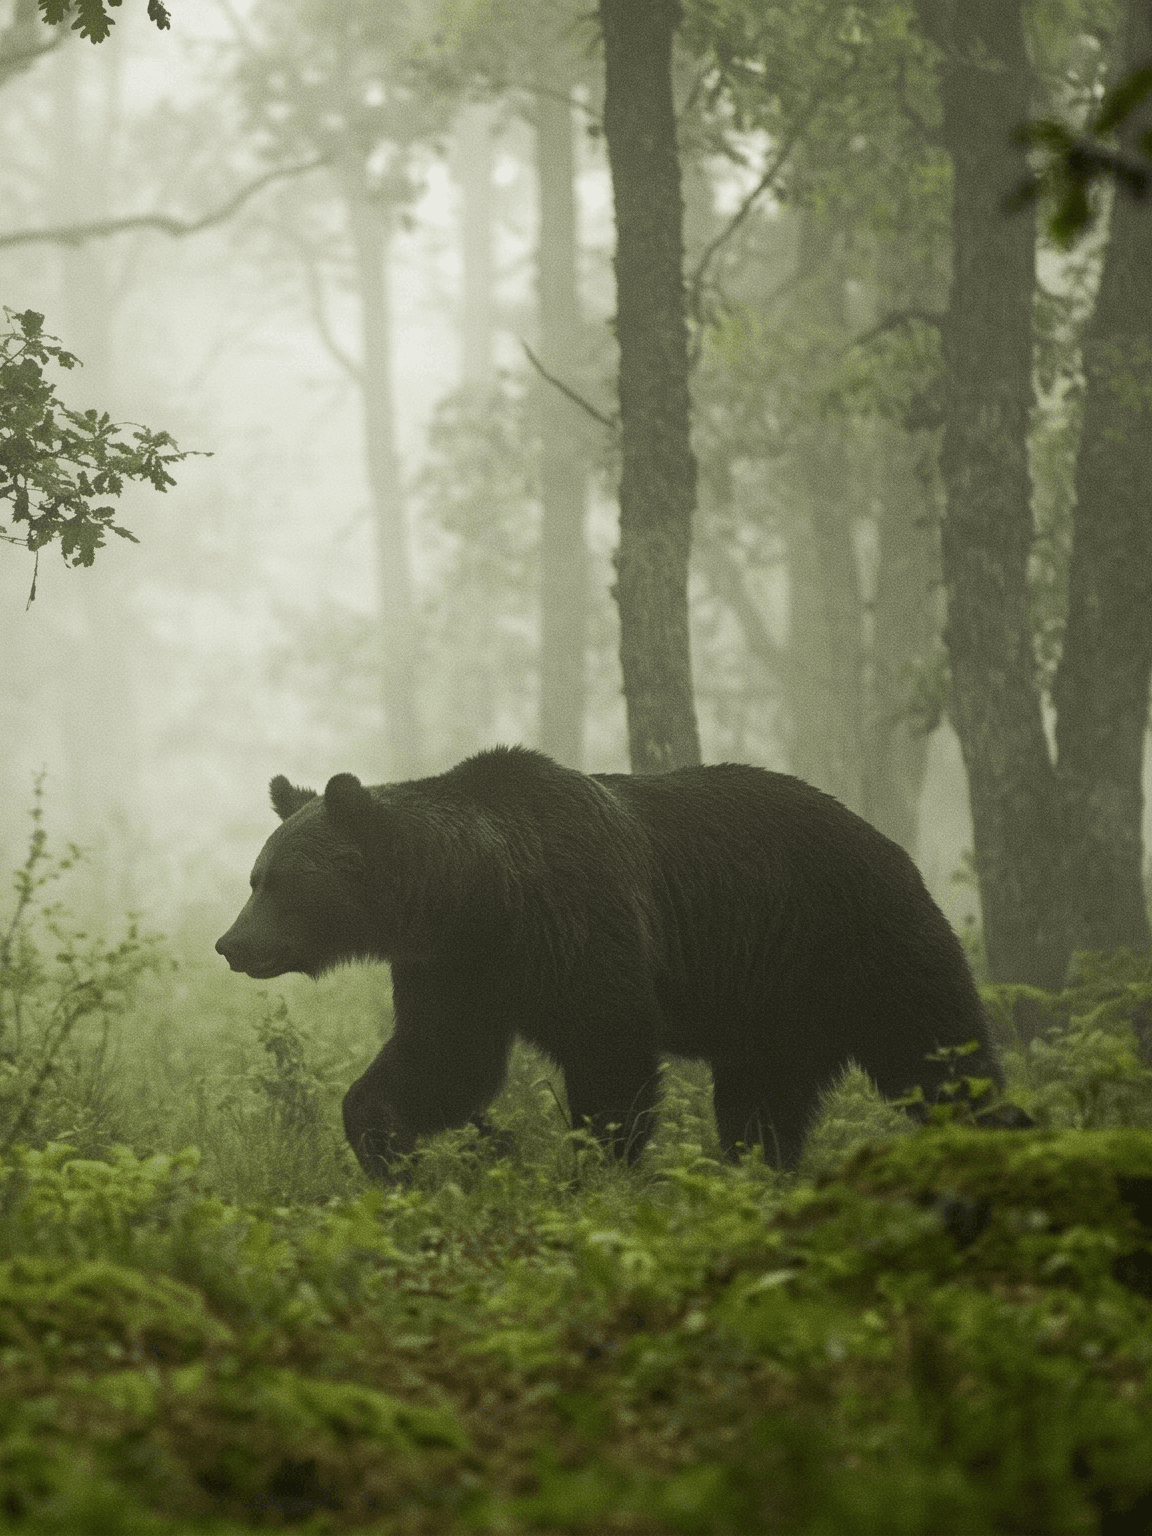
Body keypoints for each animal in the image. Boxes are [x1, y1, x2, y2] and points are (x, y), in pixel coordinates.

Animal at [216, 745, 1012, 1175]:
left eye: (278, 882)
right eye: (257, 877)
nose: (231, 944)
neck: (479, 895)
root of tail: (894, 847)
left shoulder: (580, 927)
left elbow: (611, 1059)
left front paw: (593, 1172)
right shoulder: (457, 969)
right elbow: (442, 1062)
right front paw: (392, 1152)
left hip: (860, 945)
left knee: (944, 1057)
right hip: (774, 1011)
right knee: (761, 1108)